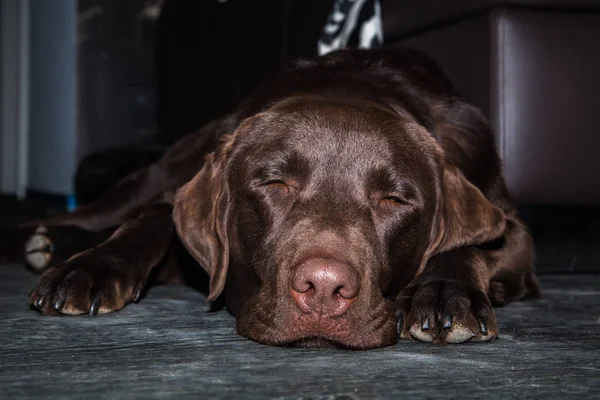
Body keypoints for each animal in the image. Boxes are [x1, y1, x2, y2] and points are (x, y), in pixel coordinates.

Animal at [0, 48, 540, 348]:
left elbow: (474, 242)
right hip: (159, 171)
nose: (323, 289)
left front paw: (444, 291)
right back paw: (49, 243)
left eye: (394, 200)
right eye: (274, 185)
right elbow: (153, 220)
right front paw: (92, 268)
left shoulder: (512, 228)